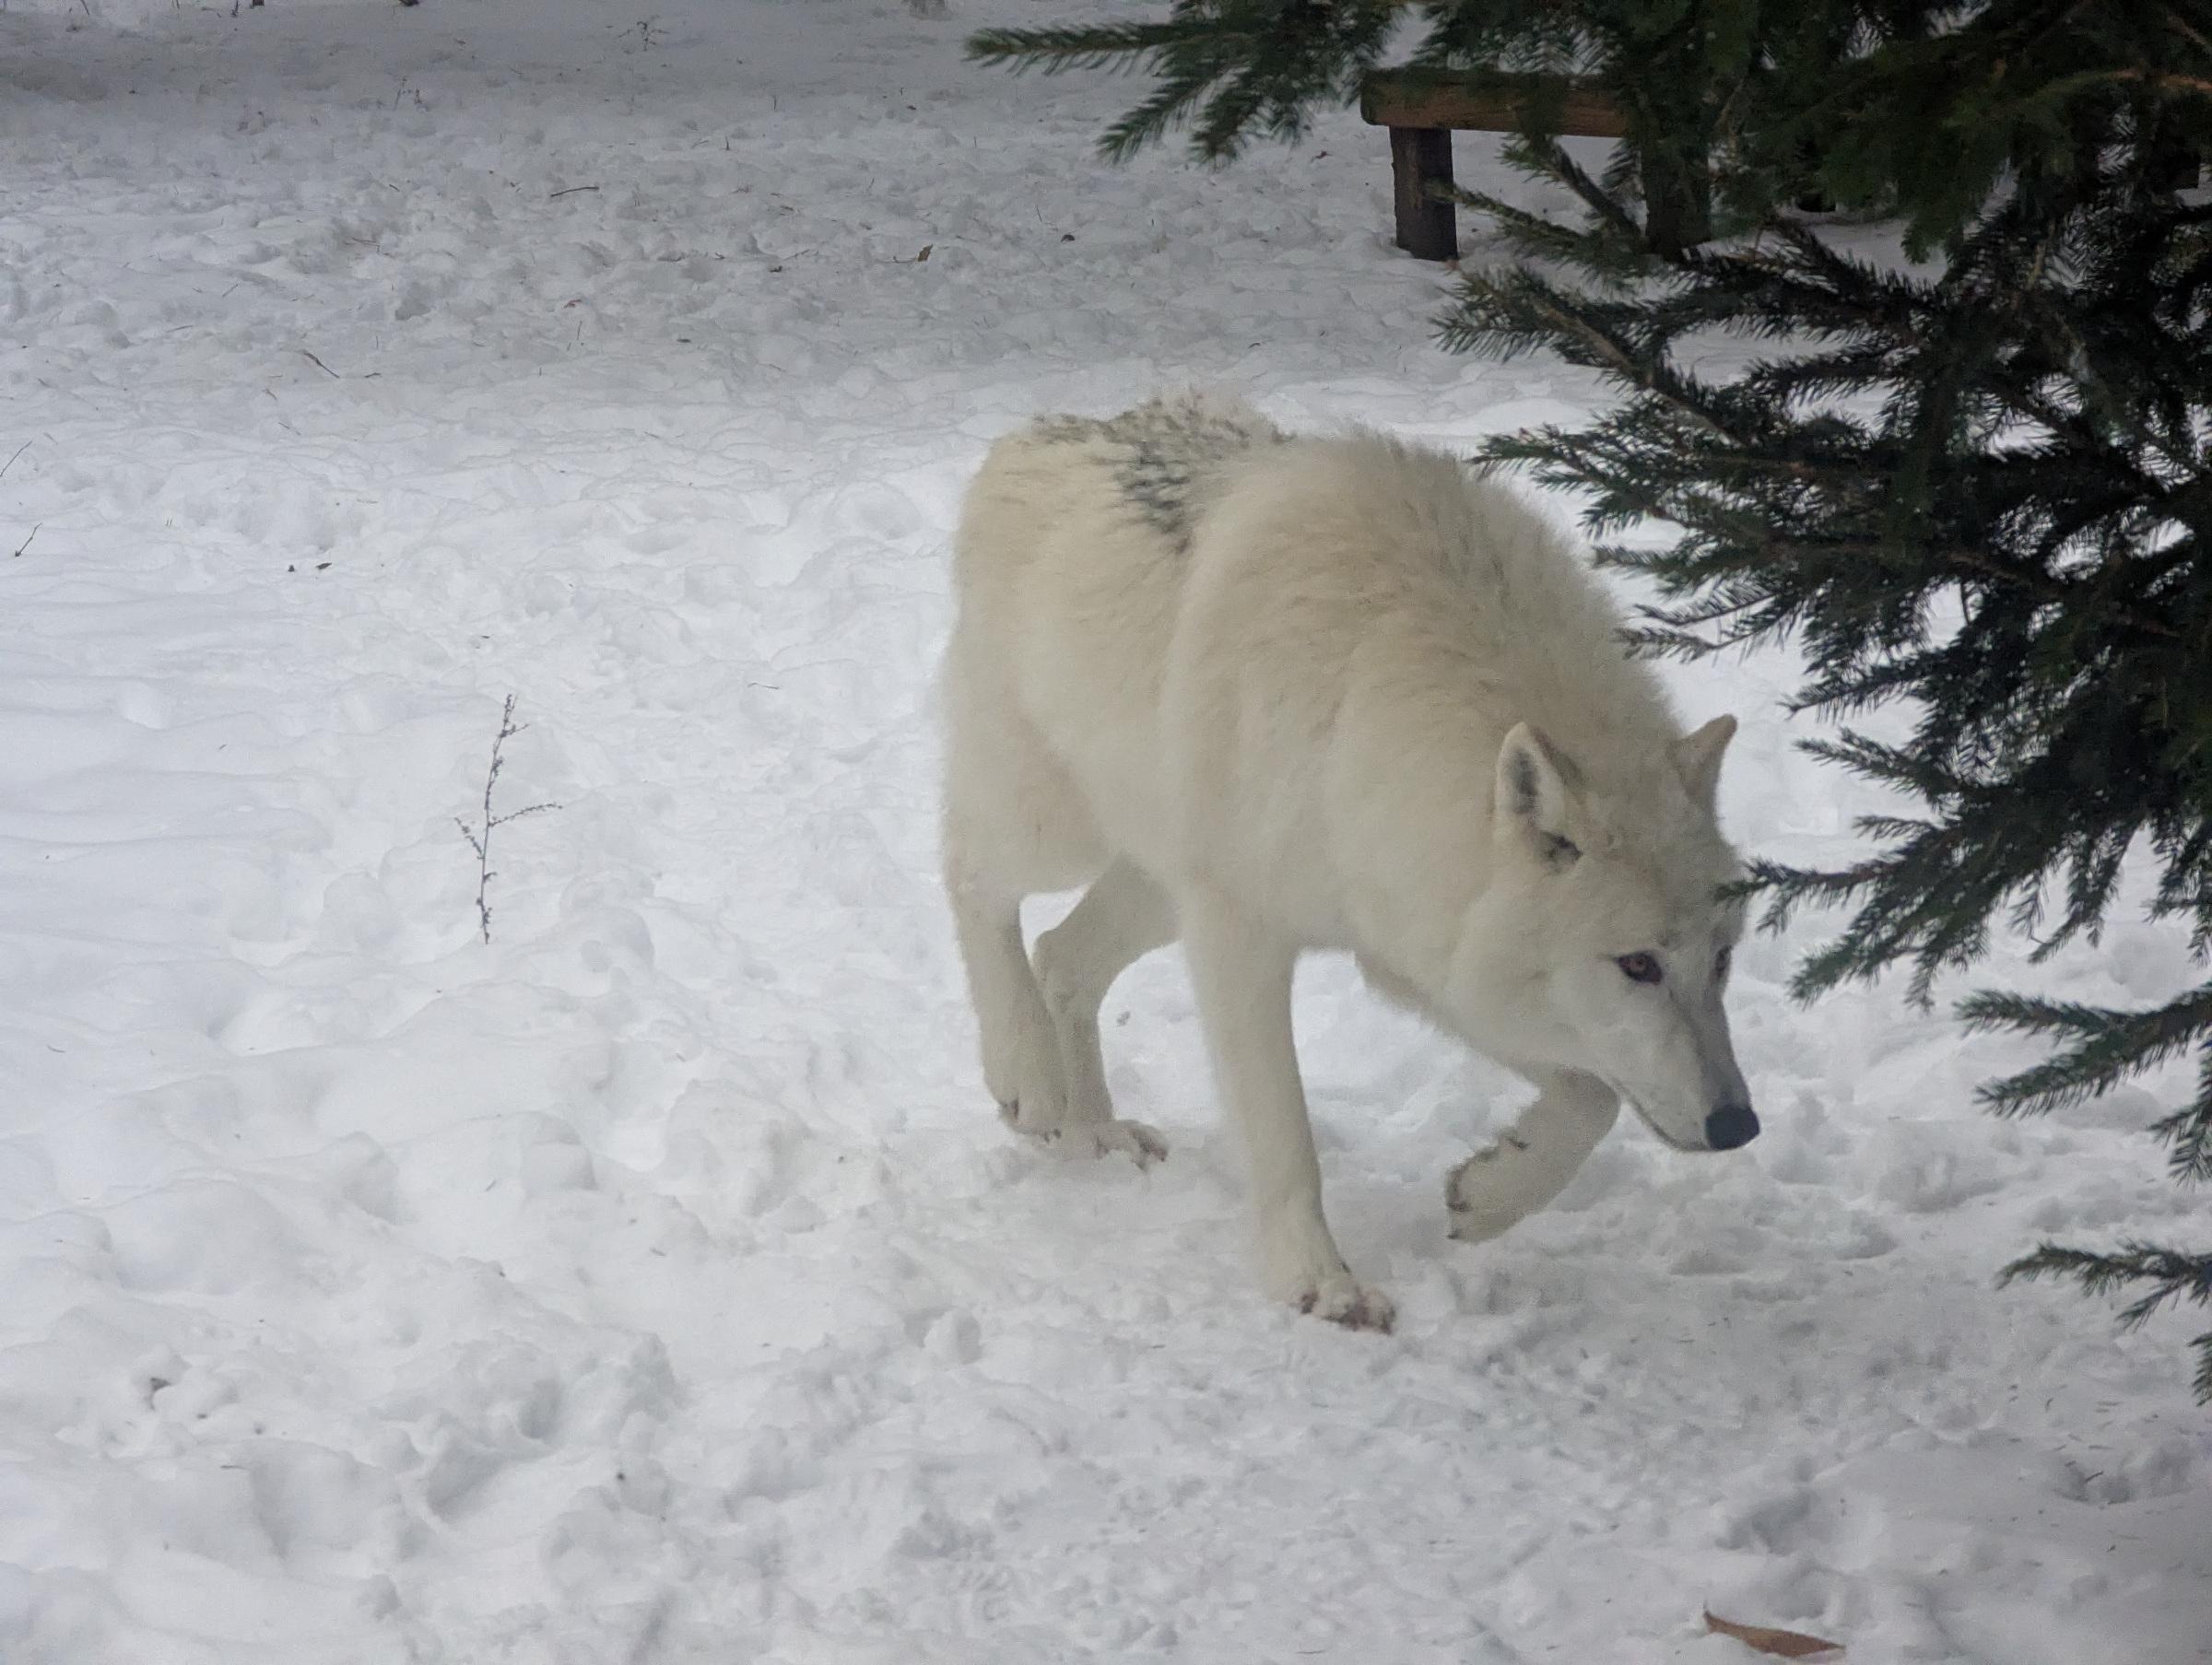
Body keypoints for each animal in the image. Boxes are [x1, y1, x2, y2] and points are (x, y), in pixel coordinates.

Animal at [938, 394, 1755, 1330]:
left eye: (1722, 960)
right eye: (1638, 964)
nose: (1738, 1125)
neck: (1368, 704)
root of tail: (1036, 433)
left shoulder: (1417, 943)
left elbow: (1594, 1097)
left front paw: (1490, 1190)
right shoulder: (1242, 932)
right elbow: (1286, 1134)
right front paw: (1319, 1283)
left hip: (1155, 885)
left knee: (1063, 959)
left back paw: (1094, 1135)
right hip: (1058, 831)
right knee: (971, 878)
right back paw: (1028, 1076)